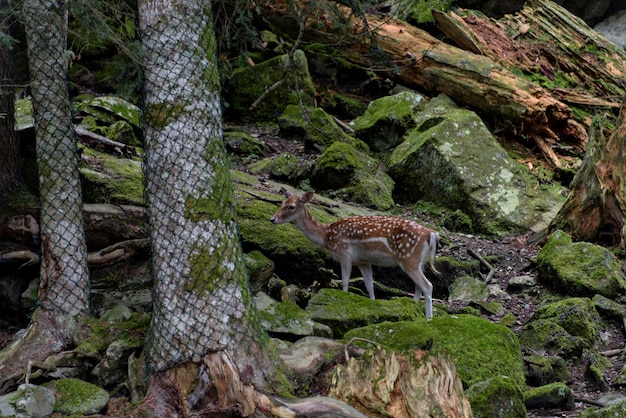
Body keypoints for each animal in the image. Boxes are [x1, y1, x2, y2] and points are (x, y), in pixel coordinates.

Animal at [268, 189, 438, 320]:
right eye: (281, 203)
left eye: (291, 206)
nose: (272, 219)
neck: (327, 236)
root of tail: (431, 234)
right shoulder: (362, 261)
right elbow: (369, 286)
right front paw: (373, 305)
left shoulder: (344, 253)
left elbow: (345, 281)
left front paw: (344, 299)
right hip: (418, 262)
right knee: (418, 286)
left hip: (408, 258)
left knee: (427, 285)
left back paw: (429, 318)